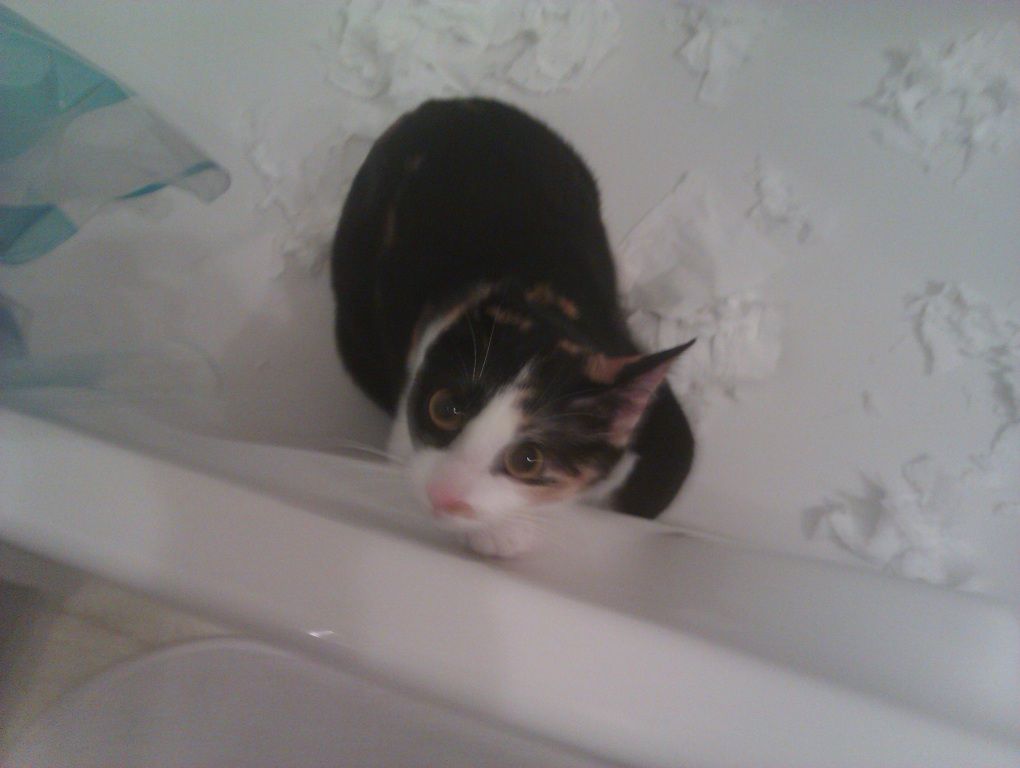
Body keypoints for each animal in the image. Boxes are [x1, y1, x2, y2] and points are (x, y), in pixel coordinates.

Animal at [331, 98, 695, 557]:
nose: (444, 495)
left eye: (527, 460)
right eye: (443, 408)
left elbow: (674, 457)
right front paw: (503, 532)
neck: (546, 305)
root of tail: (441, 107)